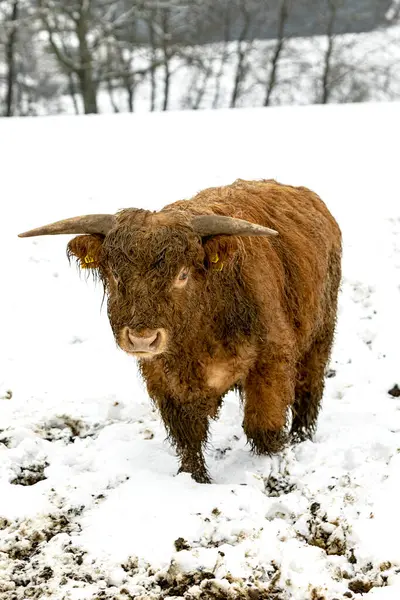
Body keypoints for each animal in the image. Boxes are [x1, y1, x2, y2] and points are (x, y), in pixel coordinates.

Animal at [19, 178, 340, 482]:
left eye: (182, 275)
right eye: (115, 276)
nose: (142, 338)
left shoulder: (271, 360)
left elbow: (263, 426)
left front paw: (275, 462)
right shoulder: (164, 378)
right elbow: (188, 437)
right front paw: (194, 477)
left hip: (321, 332)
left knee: (309, 388)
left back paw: (300, 438)